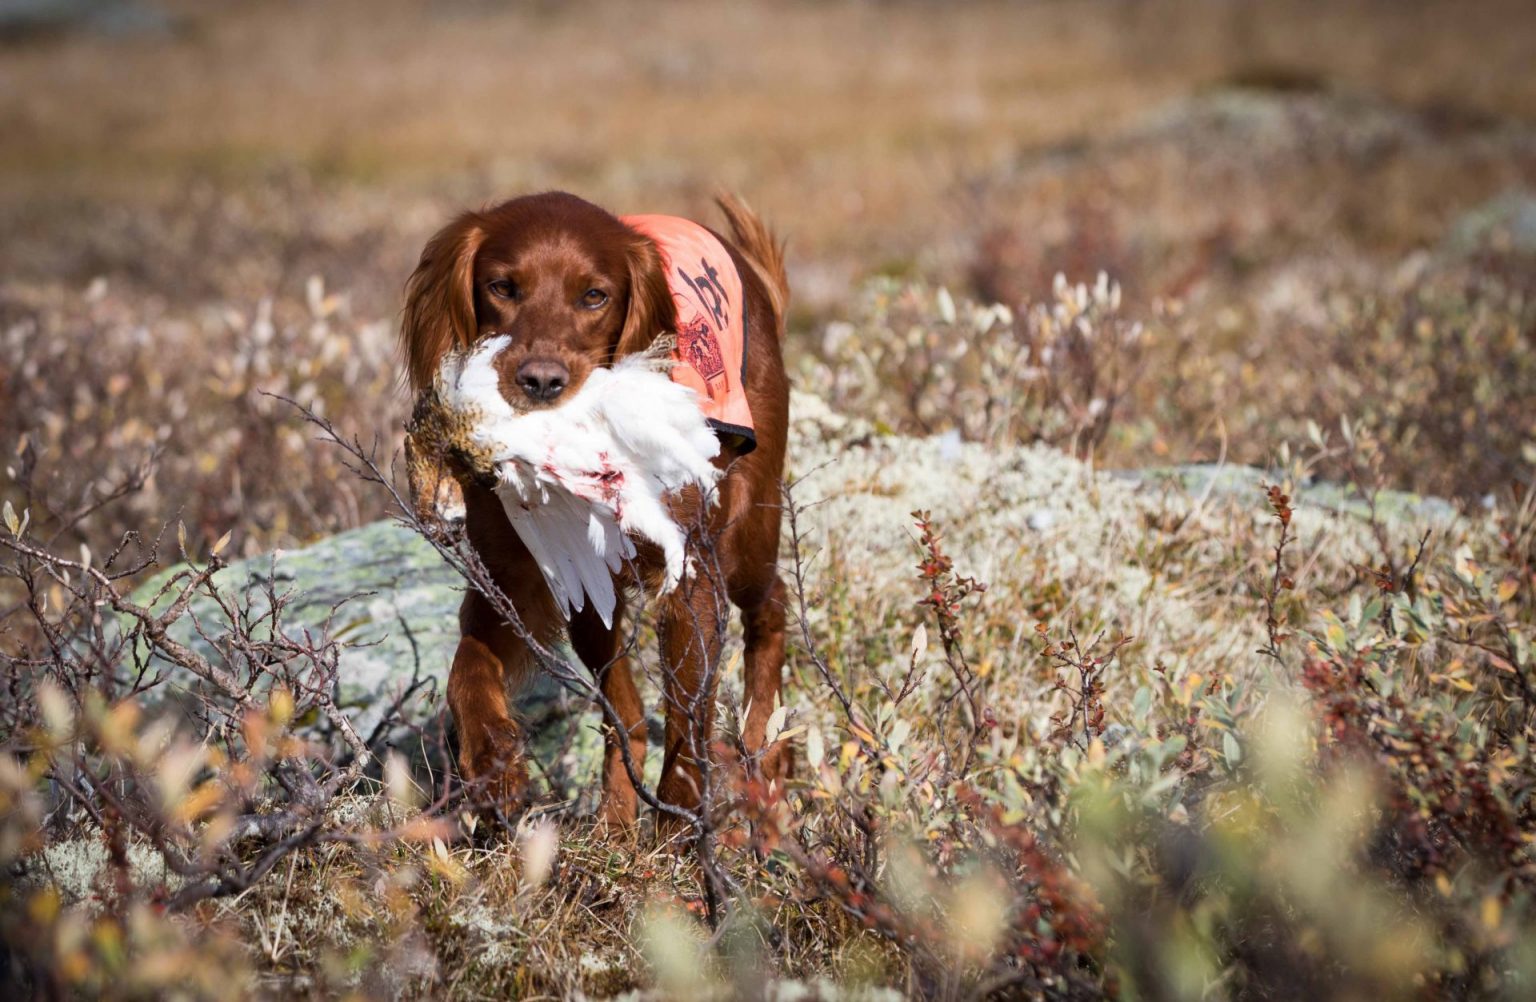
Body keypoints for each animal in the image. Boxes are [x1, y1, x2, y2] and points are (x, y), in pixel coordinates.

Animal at [396, 189, 792, 829]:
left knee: (772, 604)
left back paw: (765, 746)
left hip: (745, 537)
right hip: (591, 602)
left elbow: (688, 726)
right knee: (624, 717)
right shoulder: (519, 577)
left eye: (594, 296)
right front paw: (494, 764)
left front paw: (676, 837)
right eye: (502, 287)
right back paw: (615, 821)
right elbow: (467, 667)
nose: (540, 381)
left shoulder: (691, 580)